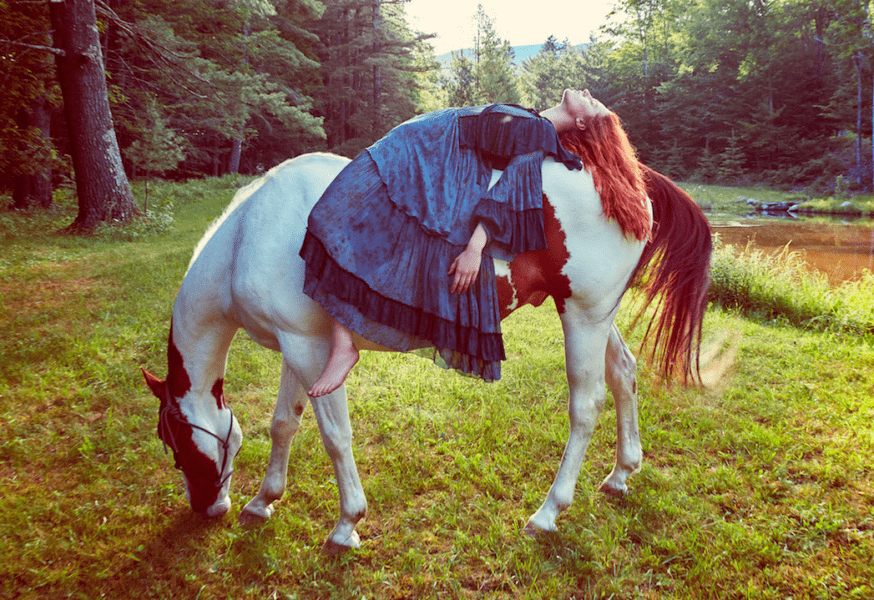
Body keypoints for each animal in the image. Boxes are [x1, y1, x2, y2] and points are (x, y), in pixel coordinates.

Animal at [141, 152, 708, 556]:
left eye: (174, 442)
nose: (206, 507)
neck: (251, 232)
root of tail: (629, 178)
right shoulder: (296, 346)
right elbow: (284, 423)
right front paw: (263, 501)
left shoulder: (308, 351)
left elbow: (334, 437)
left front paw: (346, 524)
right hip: (594, 317)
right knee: (623, 375)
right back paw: (622, 472)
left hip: (583, 317)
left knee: (586, 406)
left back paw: (549, 511)